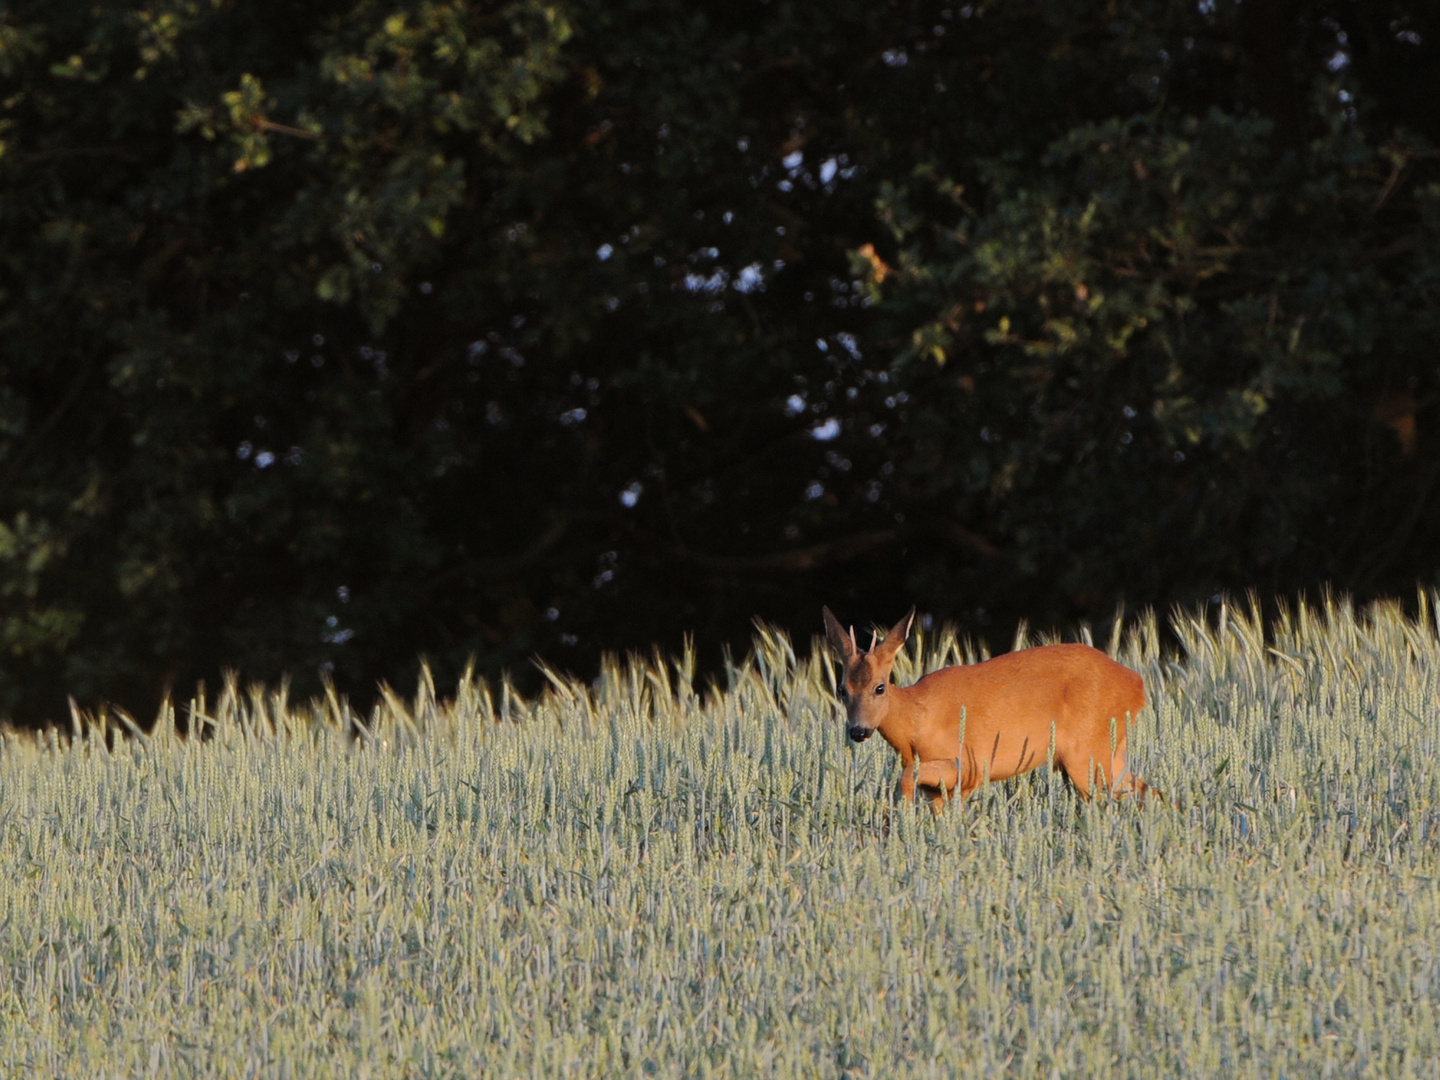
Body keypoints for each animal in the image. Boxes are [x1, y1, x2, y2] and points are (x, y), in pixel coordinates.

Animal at [829, 610, 1152, 812]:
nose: (858, 731)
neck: (916, 723)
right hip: (1108, 751)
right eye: (842, 690)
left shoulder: (970, 764)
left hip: (1086, 752)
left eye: (880, 687)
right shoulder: (938, 790)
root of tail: (1137, 684)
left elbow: (908, 776)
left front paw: (903, 816)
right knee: (1146, 791)